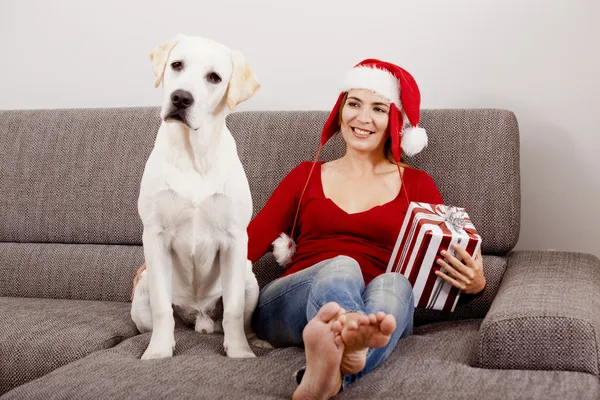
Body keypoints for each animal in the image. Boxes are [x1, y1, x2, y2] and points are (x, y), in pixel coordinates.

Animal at [131, 34, 268, 360]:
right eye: (177, 65)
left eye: (214, 77)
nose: (181, 98)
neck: (193, 154)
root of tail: (200, 316)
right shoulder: (155, 236)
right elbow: (161, 310)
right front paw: (158, 351)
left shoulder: (235, 239)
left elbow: (233, 311)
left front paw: (239, 353)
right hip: (141, 293)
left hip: (248, 277)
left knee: (242, 319)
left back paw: (255, 342)